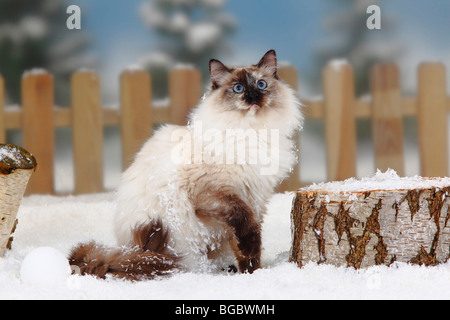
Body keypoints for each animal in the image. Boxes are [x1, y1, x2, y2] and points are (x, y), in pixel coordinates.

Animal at [69, 50, 302, 280]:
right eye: (238, 88)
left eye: (261, 84)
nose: (253, 96)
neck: (253, 131)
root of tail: (130, 250)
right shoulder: (217, 195)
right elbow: (246, 226)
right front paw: (251, 269)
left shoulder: (255, 199)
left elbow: (249, 247)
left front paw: (253, 273)